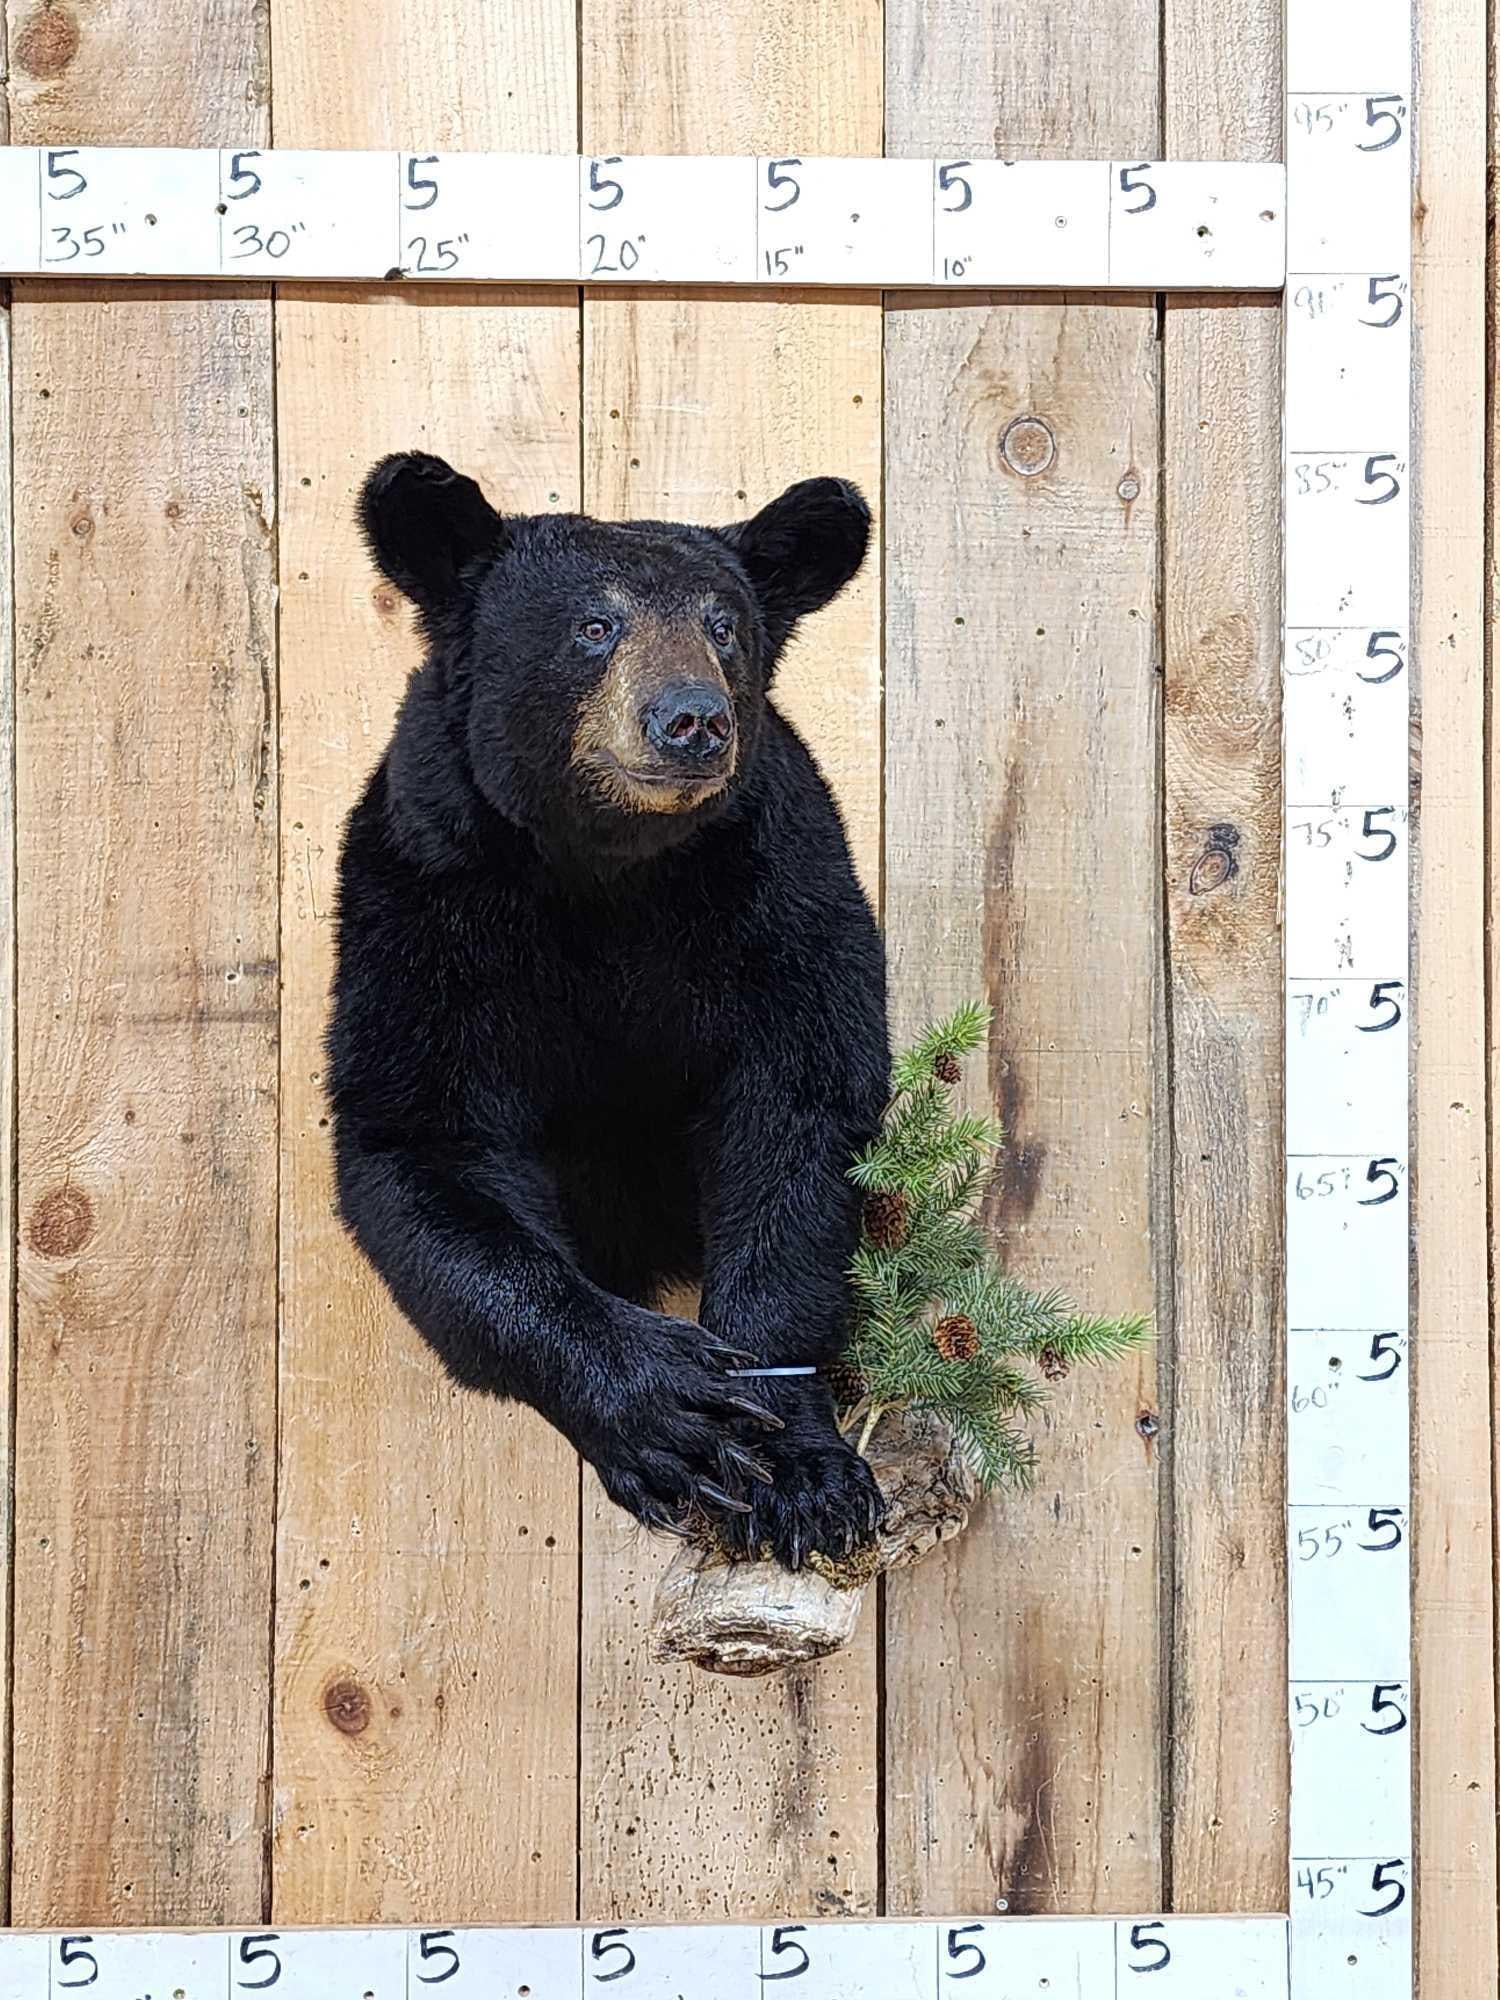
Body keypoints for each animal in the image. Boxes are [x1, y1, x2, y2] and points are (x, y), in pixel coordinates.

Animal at [326, 450, 890, 1569]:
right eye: (594, 625)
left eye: (725, 625)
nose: (692, 720)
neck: (608, 873)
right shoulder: (422, 902)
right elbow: (423, 1142)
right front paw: (667, 1412)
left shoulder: (781, 898)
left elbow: (800, 1122)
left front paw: (802, 1469)